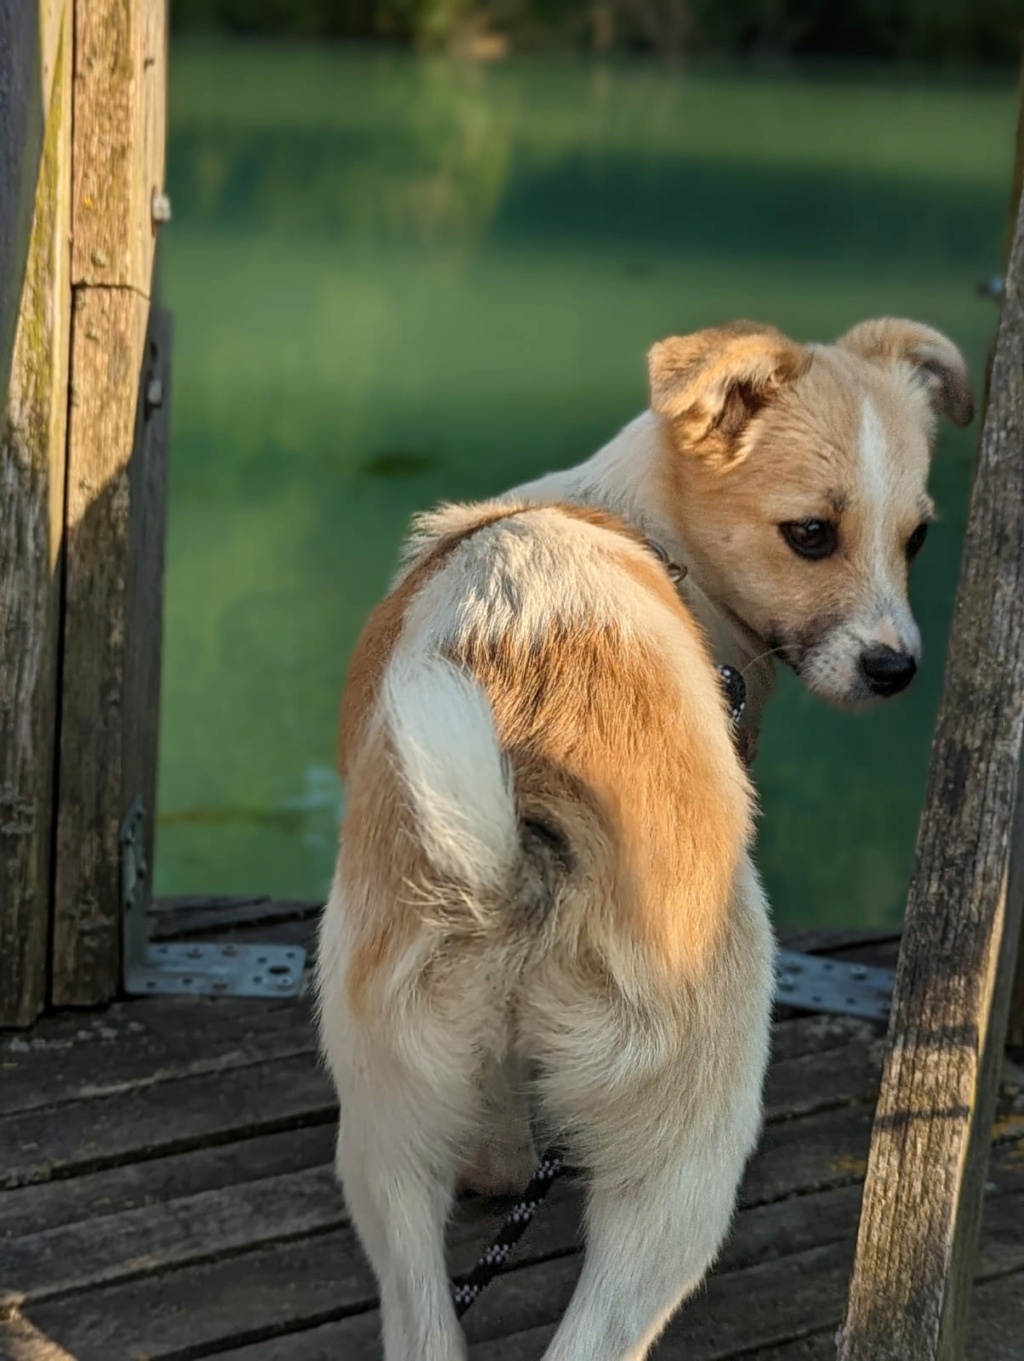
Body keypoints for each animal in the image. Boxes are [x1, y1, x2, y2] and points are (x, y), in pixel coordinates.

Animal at [315, 318, 969, 1361]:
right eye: (811, 535)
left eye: (917, 537)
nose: (895, 669)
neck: (646, 531)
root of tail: (518, 849)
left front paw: (500, 1166)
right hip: (688, 1167)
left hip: (385, 1140)